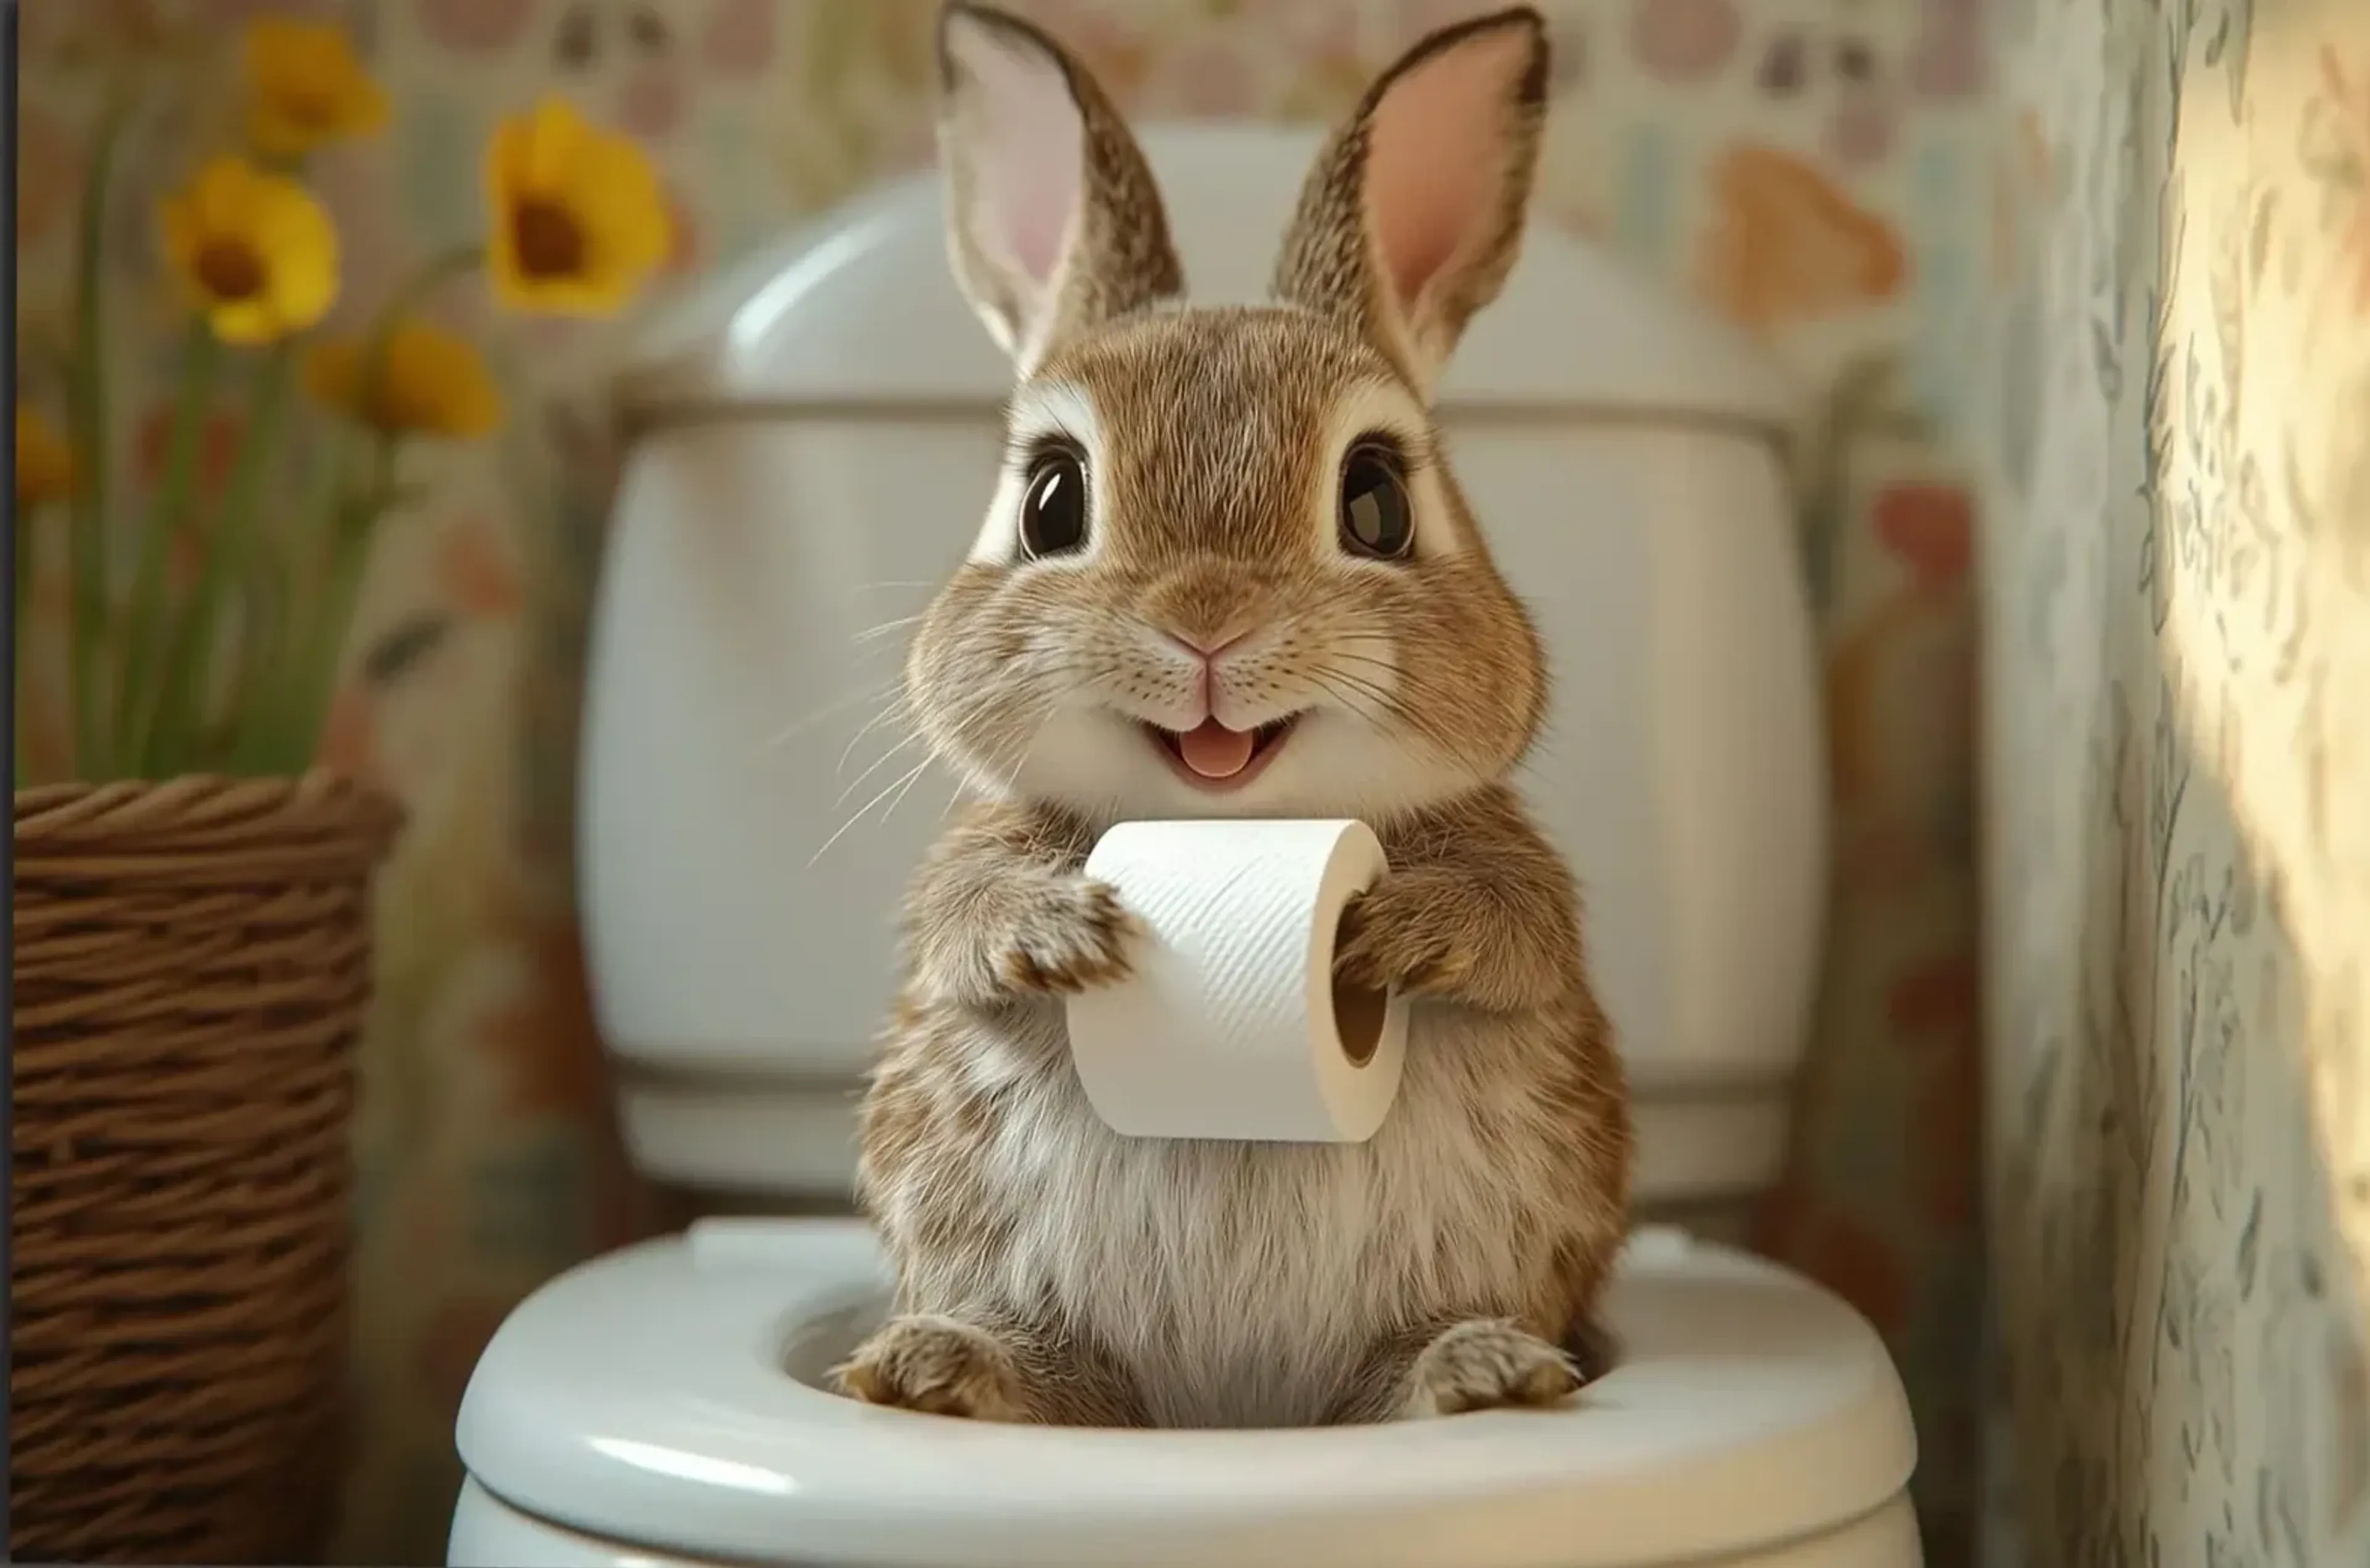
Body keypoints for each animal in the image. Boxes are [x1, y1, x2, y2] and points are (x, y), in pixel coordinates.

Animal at [834, 0, 1633, 1429]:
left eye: (1377, 499)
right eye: (1051, 500)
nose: (1208, 620)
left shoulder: (1519, 875)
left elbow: (1516, 927)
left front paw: (1393, 934)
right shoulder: (964, 869)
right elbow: (962, 920)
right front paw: (1055, 932)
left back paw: (1476, 1372)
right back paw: (945, 1371)